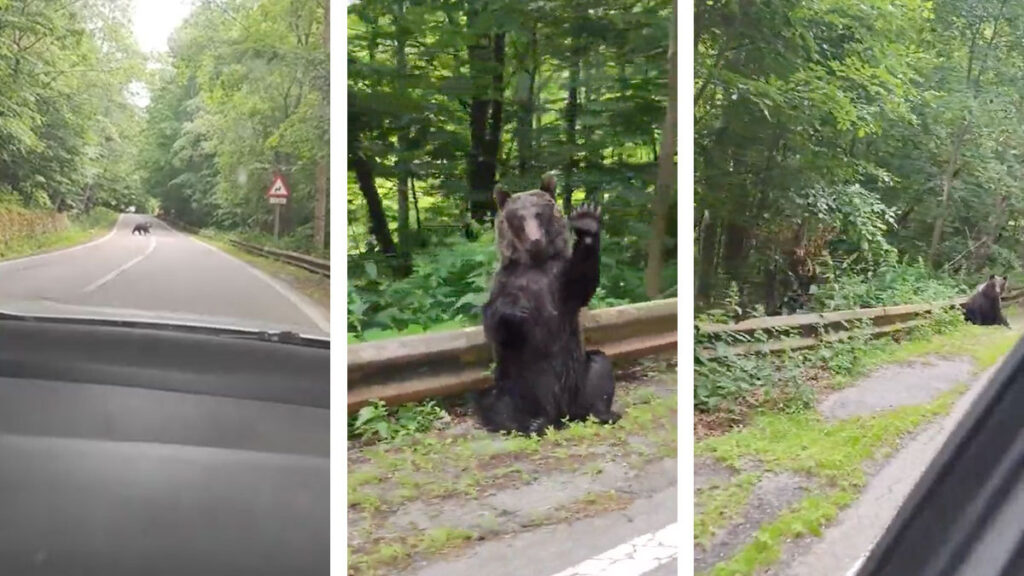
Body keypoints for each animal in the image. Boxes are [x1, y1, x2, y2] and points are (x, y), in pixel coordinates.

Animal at [474, 173, 620, 436]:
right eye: (518, 217)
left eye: (539, 213)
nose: (535, 240)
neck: (535, 263)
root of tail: (560, 413)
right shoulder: (505, 281)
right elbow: (494, 326)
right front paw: (513, 309)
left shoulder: (560, 280)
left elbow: (582, 285)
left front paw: (587, 222)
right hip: (517, 382)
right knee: (494, 400)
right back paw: (530, 423)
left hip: (579, 375)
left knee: (600, 368)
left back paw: (604, 413)